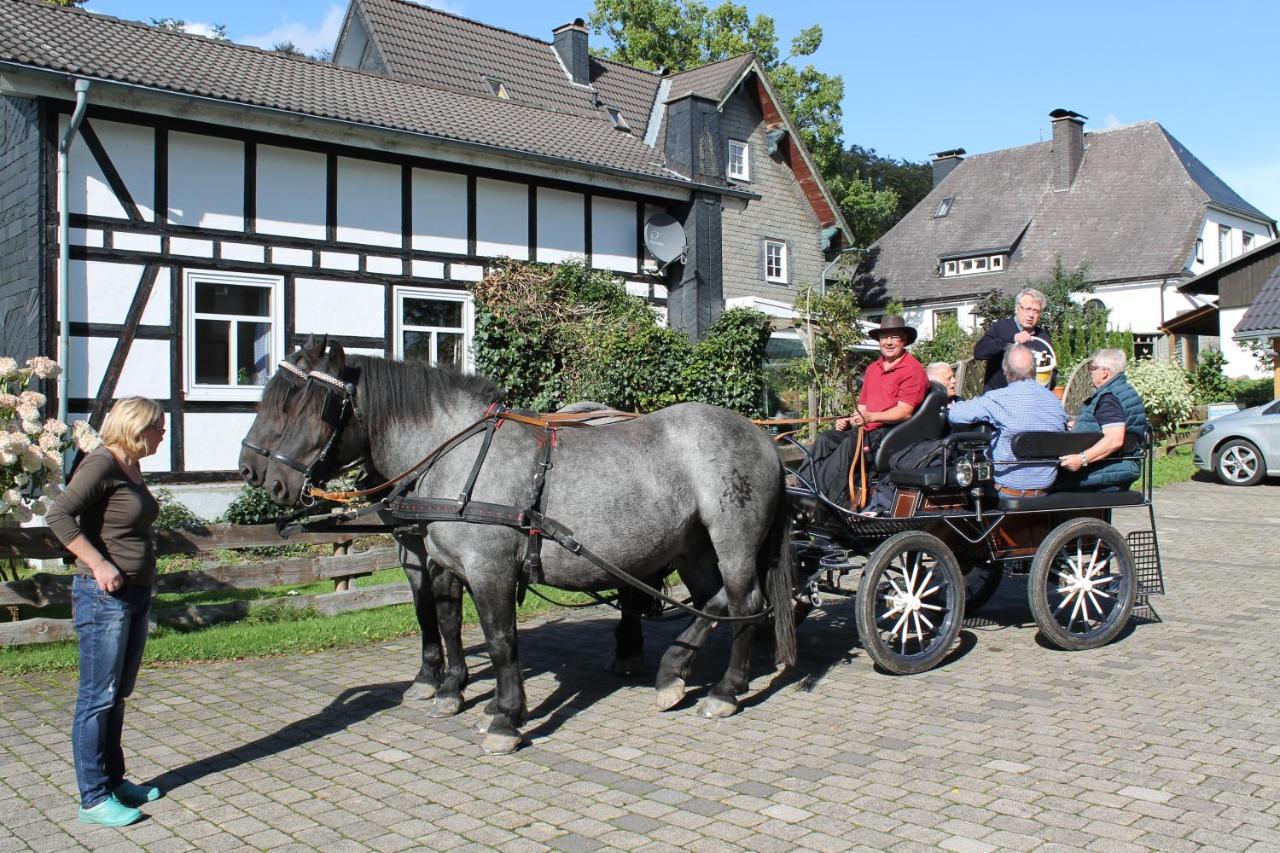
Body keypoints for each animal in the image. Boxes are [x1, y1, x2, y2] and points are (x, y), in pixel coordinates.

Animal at [244, 338, 793, 753]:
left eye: (303, 404)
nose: (255, 473)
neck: (457, 454)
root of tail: (762, 437)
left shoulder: (489, 568)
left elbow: (501, 640)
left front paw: (506, 718)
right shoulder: (443, 563)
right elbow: (446, 622)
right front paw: (459, 691)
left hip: (732, 539)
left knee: (745, 601)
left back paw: (725, 690)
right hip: (693, 547)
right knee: (713, 601)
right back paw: (675, 672)